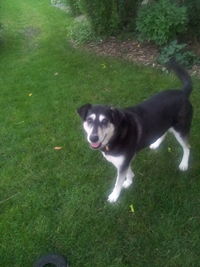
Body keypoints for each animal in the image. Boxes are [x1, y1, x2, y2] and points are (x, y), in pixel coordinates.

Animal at [77, 61, 193, 203]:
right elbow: (128, 172)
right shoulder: (124, 161)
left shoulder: (123, 162)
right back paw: (156, 143)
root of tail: (183, 92)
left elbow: (118, 181)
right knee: (164, 132)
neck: (116, 135)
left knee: (187, 147)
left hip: (181, 129)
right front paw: (129, 181)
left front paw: (115, 196)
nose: (93, 138)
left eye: (105, 121)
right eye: (89, 120)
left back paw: (184, 164)